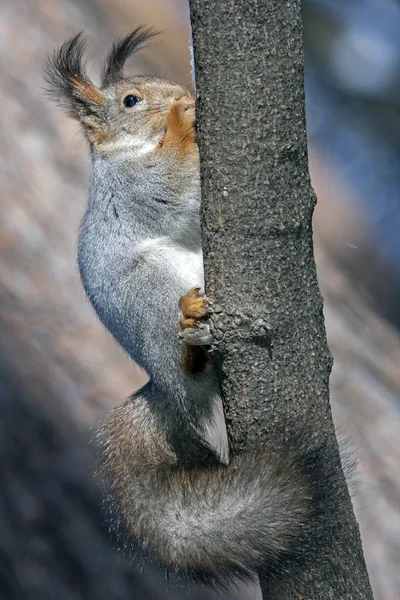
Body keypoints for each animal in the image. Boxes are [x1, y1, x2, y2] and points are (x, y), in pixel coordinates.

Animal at [44, 30, 318, 588]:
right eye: (131, 100)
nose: (180, 94)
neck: (129, 150)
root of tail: (163, 388)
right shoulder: (138, 188)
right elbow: (174, 183)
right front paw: (181, 118)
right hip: (154, 296)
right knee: (189, 364)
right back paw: (193, 332)